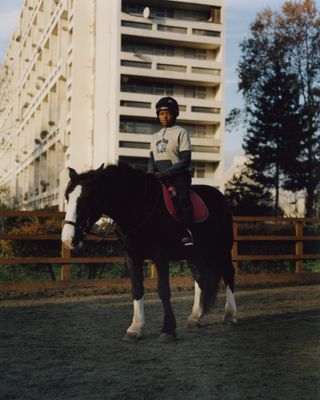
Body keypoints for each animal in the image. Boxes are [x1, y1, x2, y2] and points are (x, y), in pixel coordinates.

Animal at [61, 163, 238, 344]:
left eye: (86, 198)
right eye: (67, 197)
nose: (68, 239)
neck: (138, 207)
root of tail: (220, 197)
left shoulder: (160, 256)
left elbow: (163, 290)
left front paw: (168, 330)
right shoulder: (131, 257)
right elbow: (137, 289)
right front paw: (135, 328)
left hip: (222, 249)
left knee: (228, 274)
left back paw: (229, 316)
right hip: (194, 254)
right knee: (199, 278)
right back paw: (195, 317)